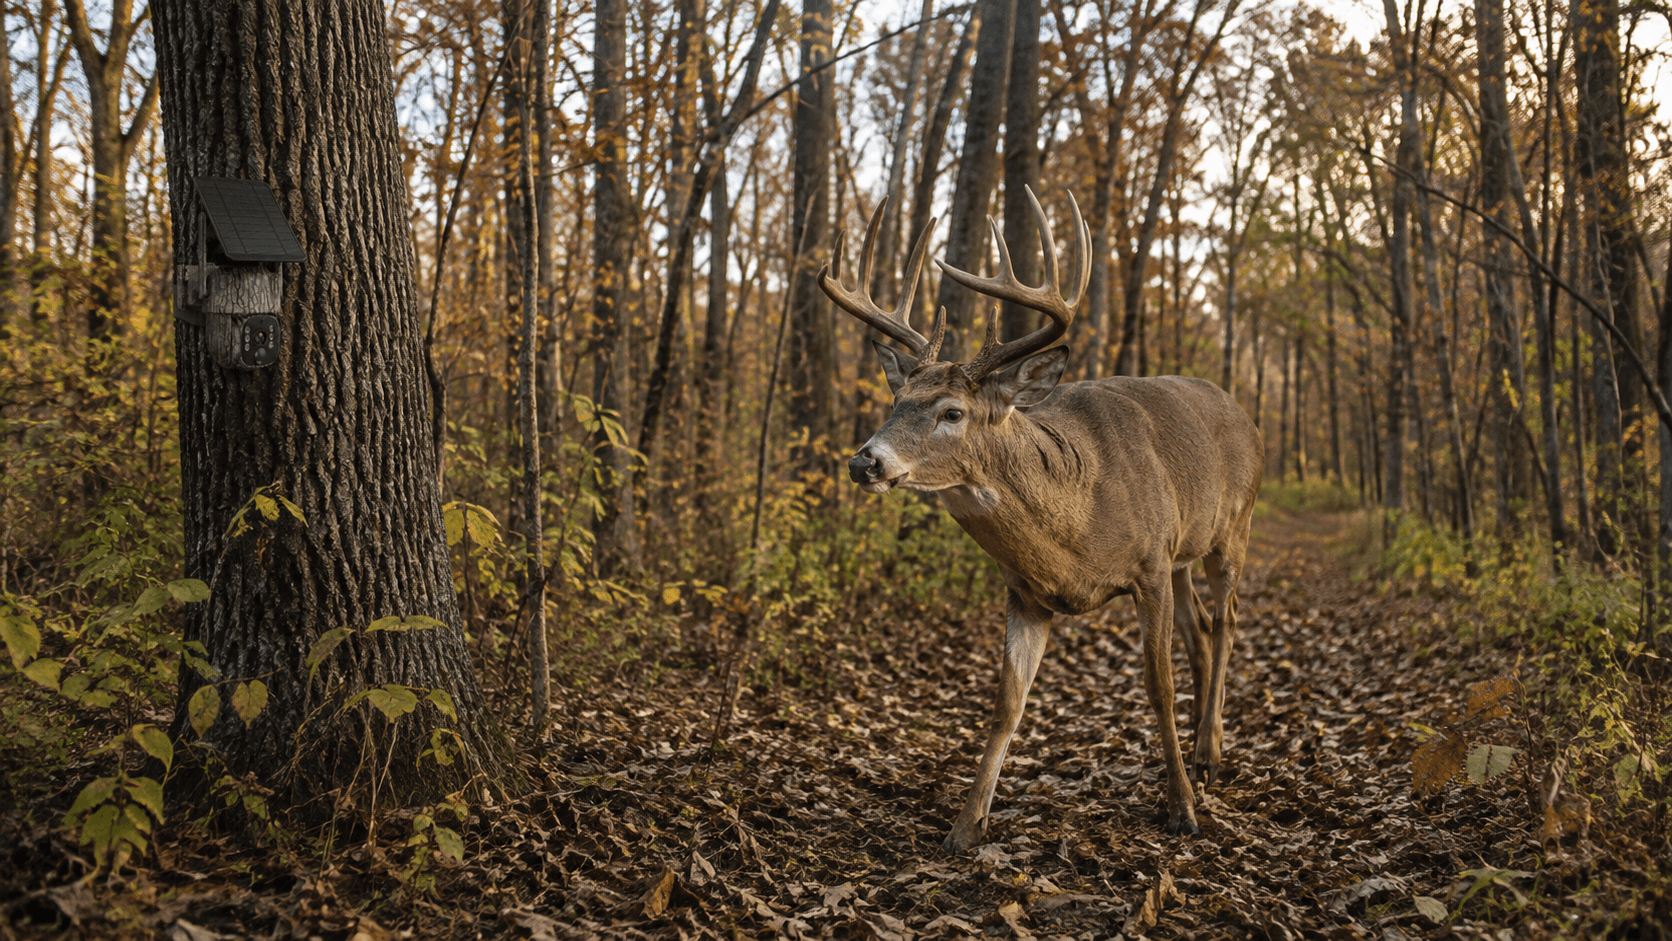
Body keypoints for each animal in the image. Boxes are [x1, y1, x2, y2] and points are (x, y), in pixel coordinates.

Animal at [819, 187, 1263, 852]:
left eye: (952, 412)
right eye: (897, 401)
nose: (864, 461)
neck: (1075, 527)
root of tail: (1245, 414)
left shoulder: (1149, 566)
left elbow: (1156, 687)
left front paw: (1182, 810)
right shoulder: (1027, 591)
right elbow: (1008, 702)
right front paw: (965, 825)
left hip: (1232, 530)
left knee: (1229, 620)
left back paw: (1208, 753)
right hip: (1186, 551)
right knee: (1203, 632)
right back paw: (1198, 743)